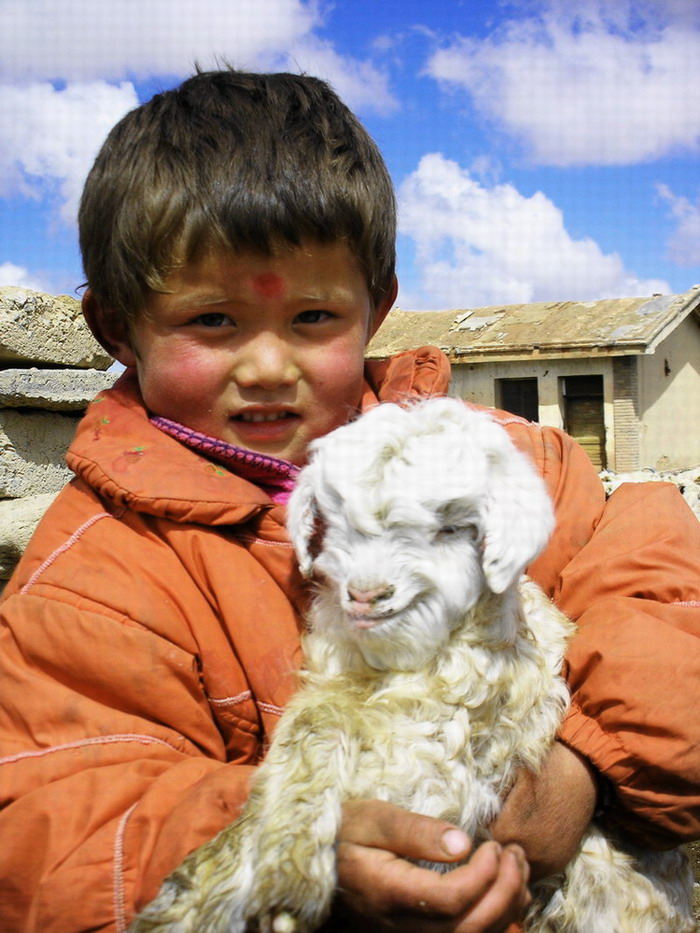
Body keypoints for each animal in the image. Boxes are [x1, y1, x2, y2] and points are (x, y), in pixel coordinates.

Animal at [131, 396, 696, 932]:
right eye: (337, 522)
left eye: (453, 528)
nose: (366, 594)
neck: (394, 662)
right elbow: (311, 727)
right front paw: (205, 892)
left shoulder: (444, 747)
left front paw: (281, 881)